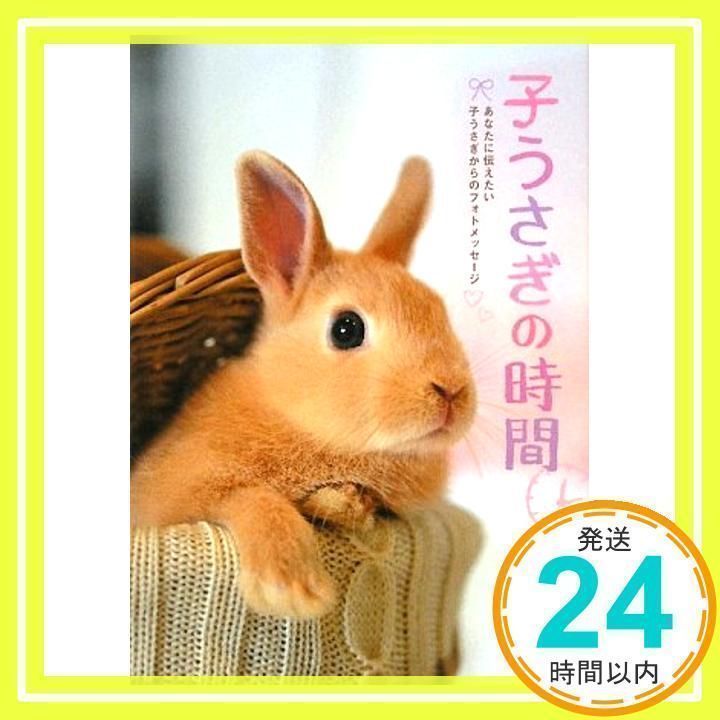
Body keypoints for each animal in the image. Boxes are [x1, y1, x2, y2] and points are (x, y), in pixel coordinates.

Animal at [131, 151, 476, 619]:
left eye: (439, 310)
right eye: (346, 329)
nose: (451, 392)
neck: (290, 412)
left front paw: (343, 506)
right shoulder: (178, 494)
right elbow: (252, 497)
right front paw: (291, 591)